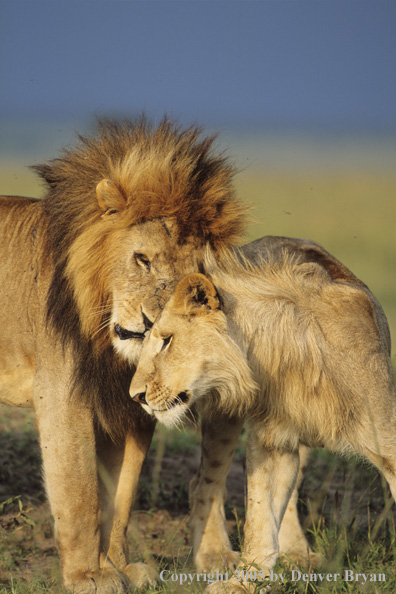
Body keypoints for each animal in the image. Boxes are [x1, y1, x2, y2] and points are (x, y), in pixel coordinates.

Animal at [0, 115, 248, 592]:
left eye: (193, 279)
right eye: (142, 260)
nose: (152, 324)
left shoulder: (131, 407)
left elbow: (121, 493)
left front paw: (118, 565)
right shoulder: (62, 394)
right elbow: (80, 493)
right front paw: (88, 576)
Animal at [131, 240, 396, 592]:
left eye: (167, 340)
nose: (135, 395)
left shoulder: (388, 439)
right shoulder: (271, 443)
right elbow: (259, 520)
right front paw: (243, 582)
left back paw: (297, 553)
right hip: (224, 414)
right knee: (203, 481)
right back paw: (214, 555)